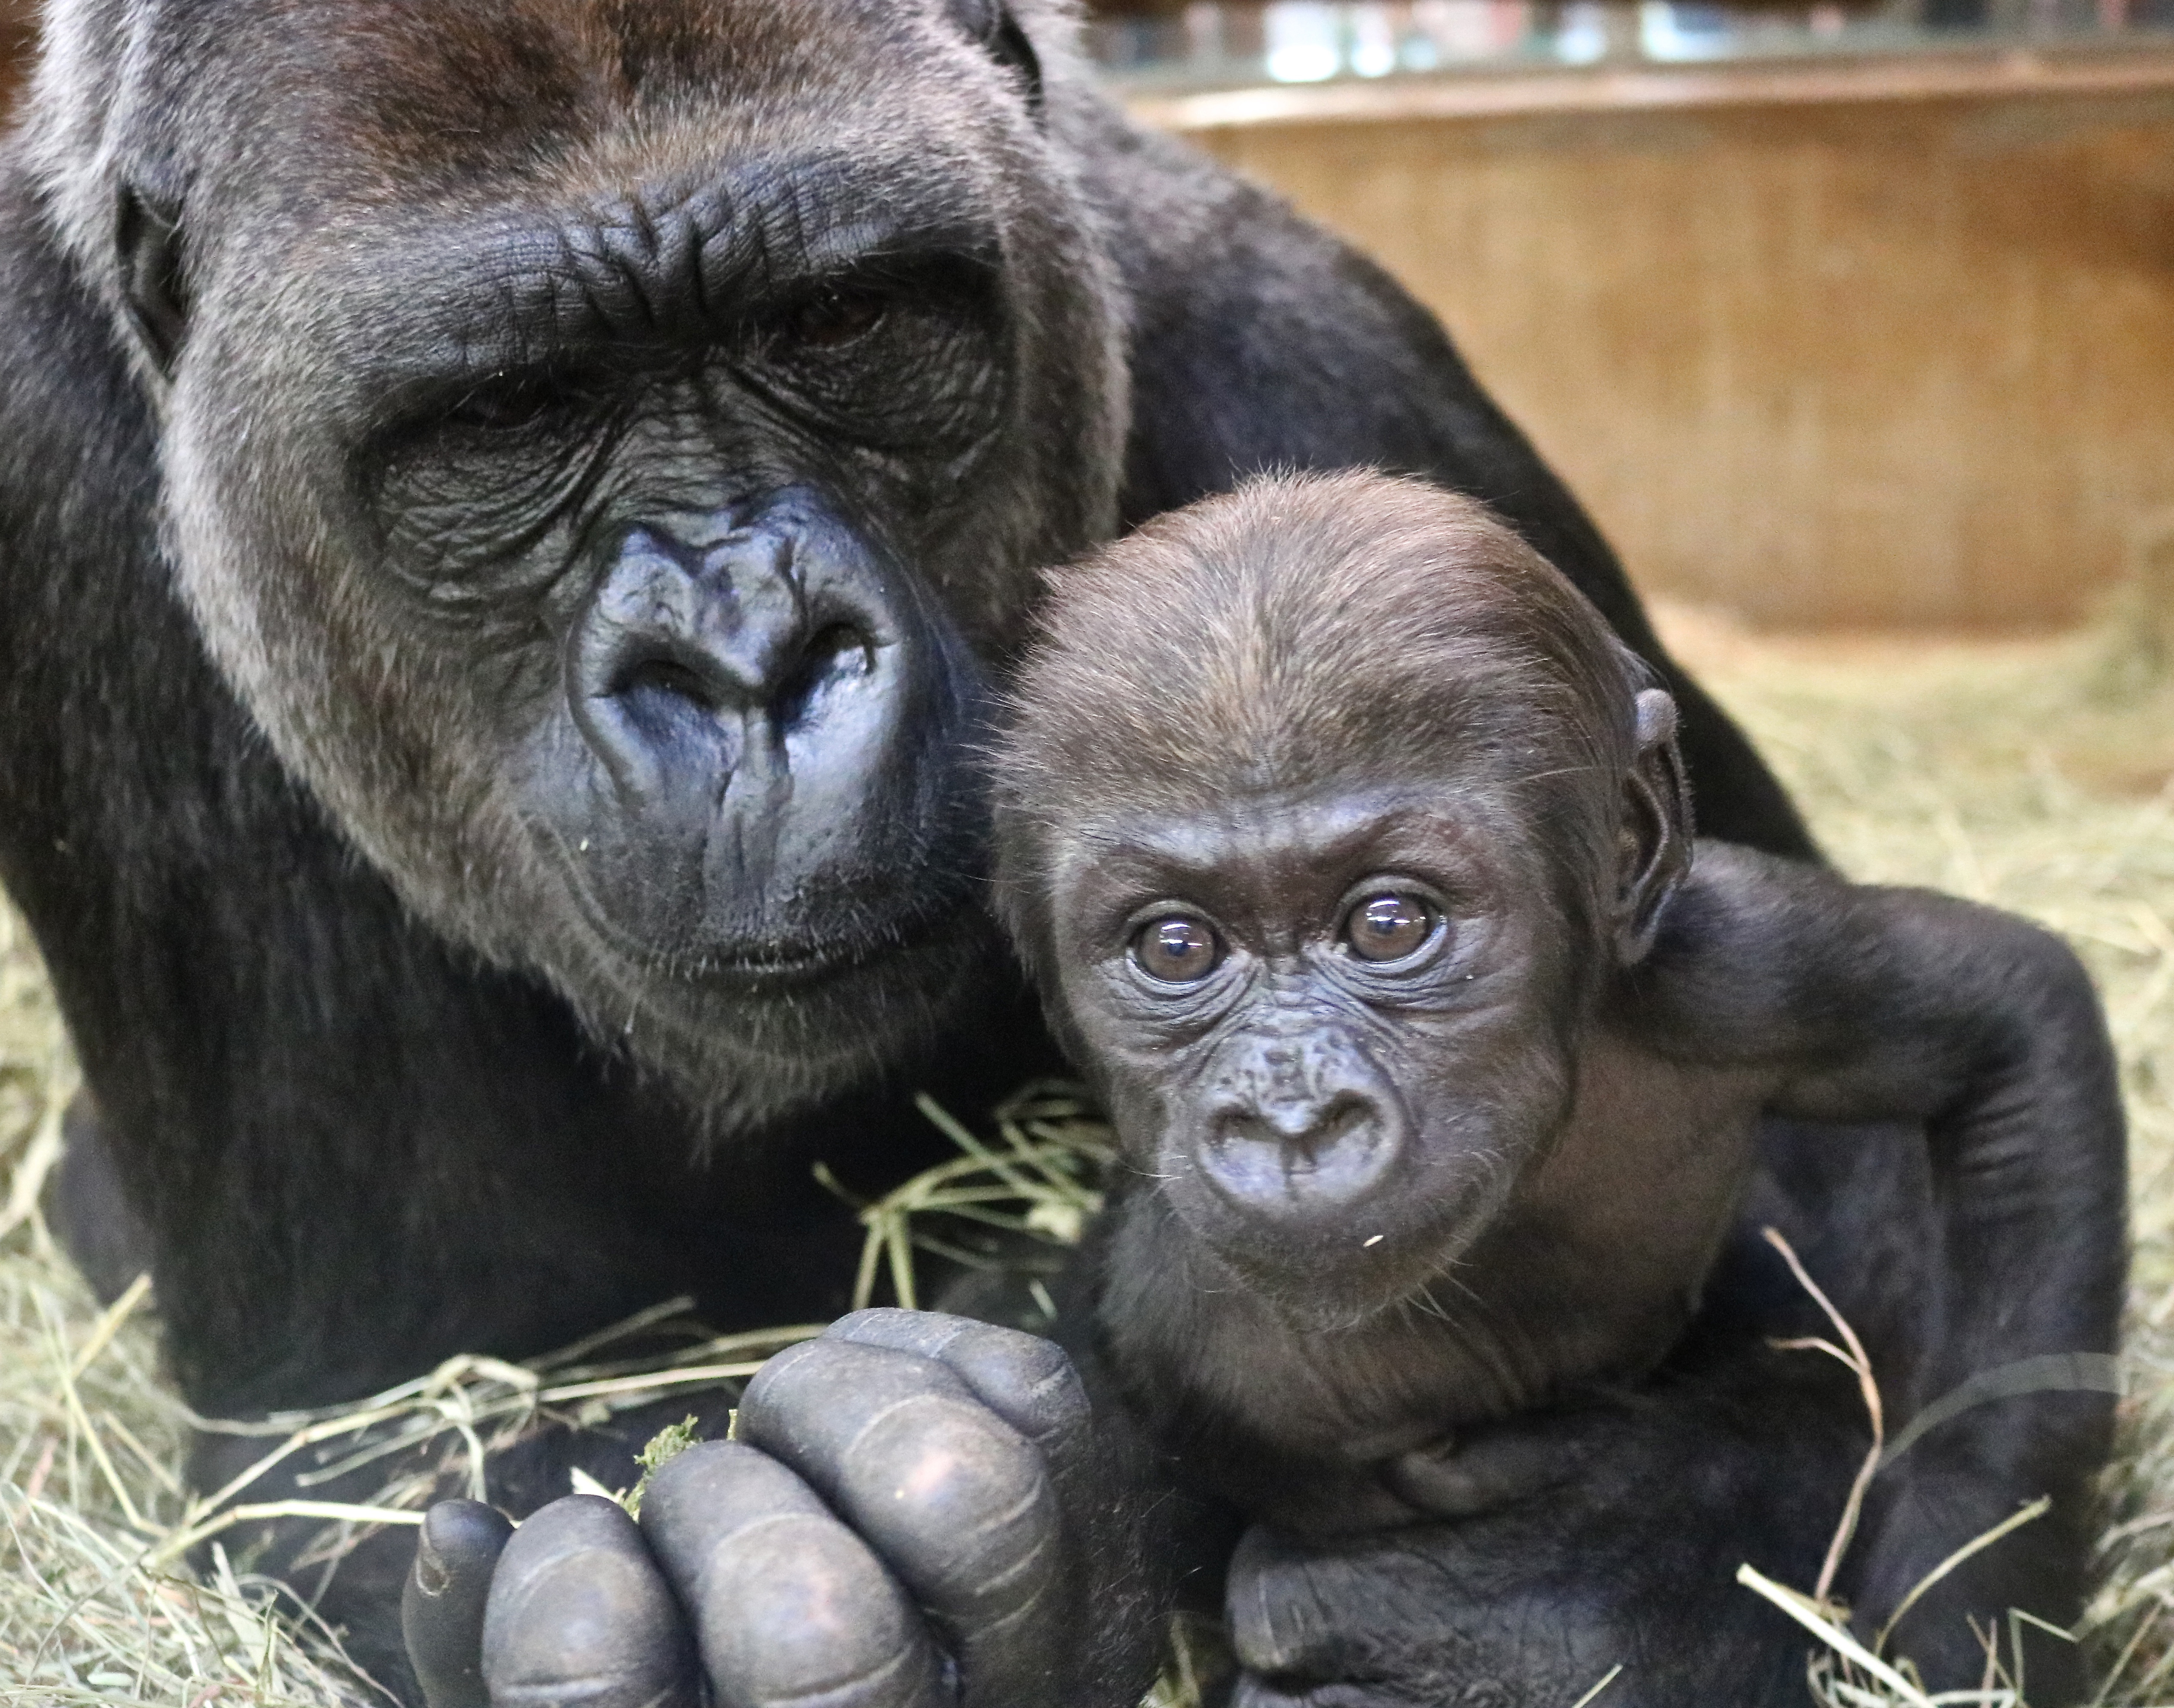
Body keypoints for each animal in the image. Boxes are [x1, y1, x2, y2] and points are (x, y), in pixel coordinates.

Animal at [996, 471, 2121, 1538]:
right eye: (1176, 947)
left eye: (1390, 925)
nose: (1292, 1118)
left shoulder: (1739, 969)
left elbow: (2012, 1018)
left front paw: (1967, 1547)